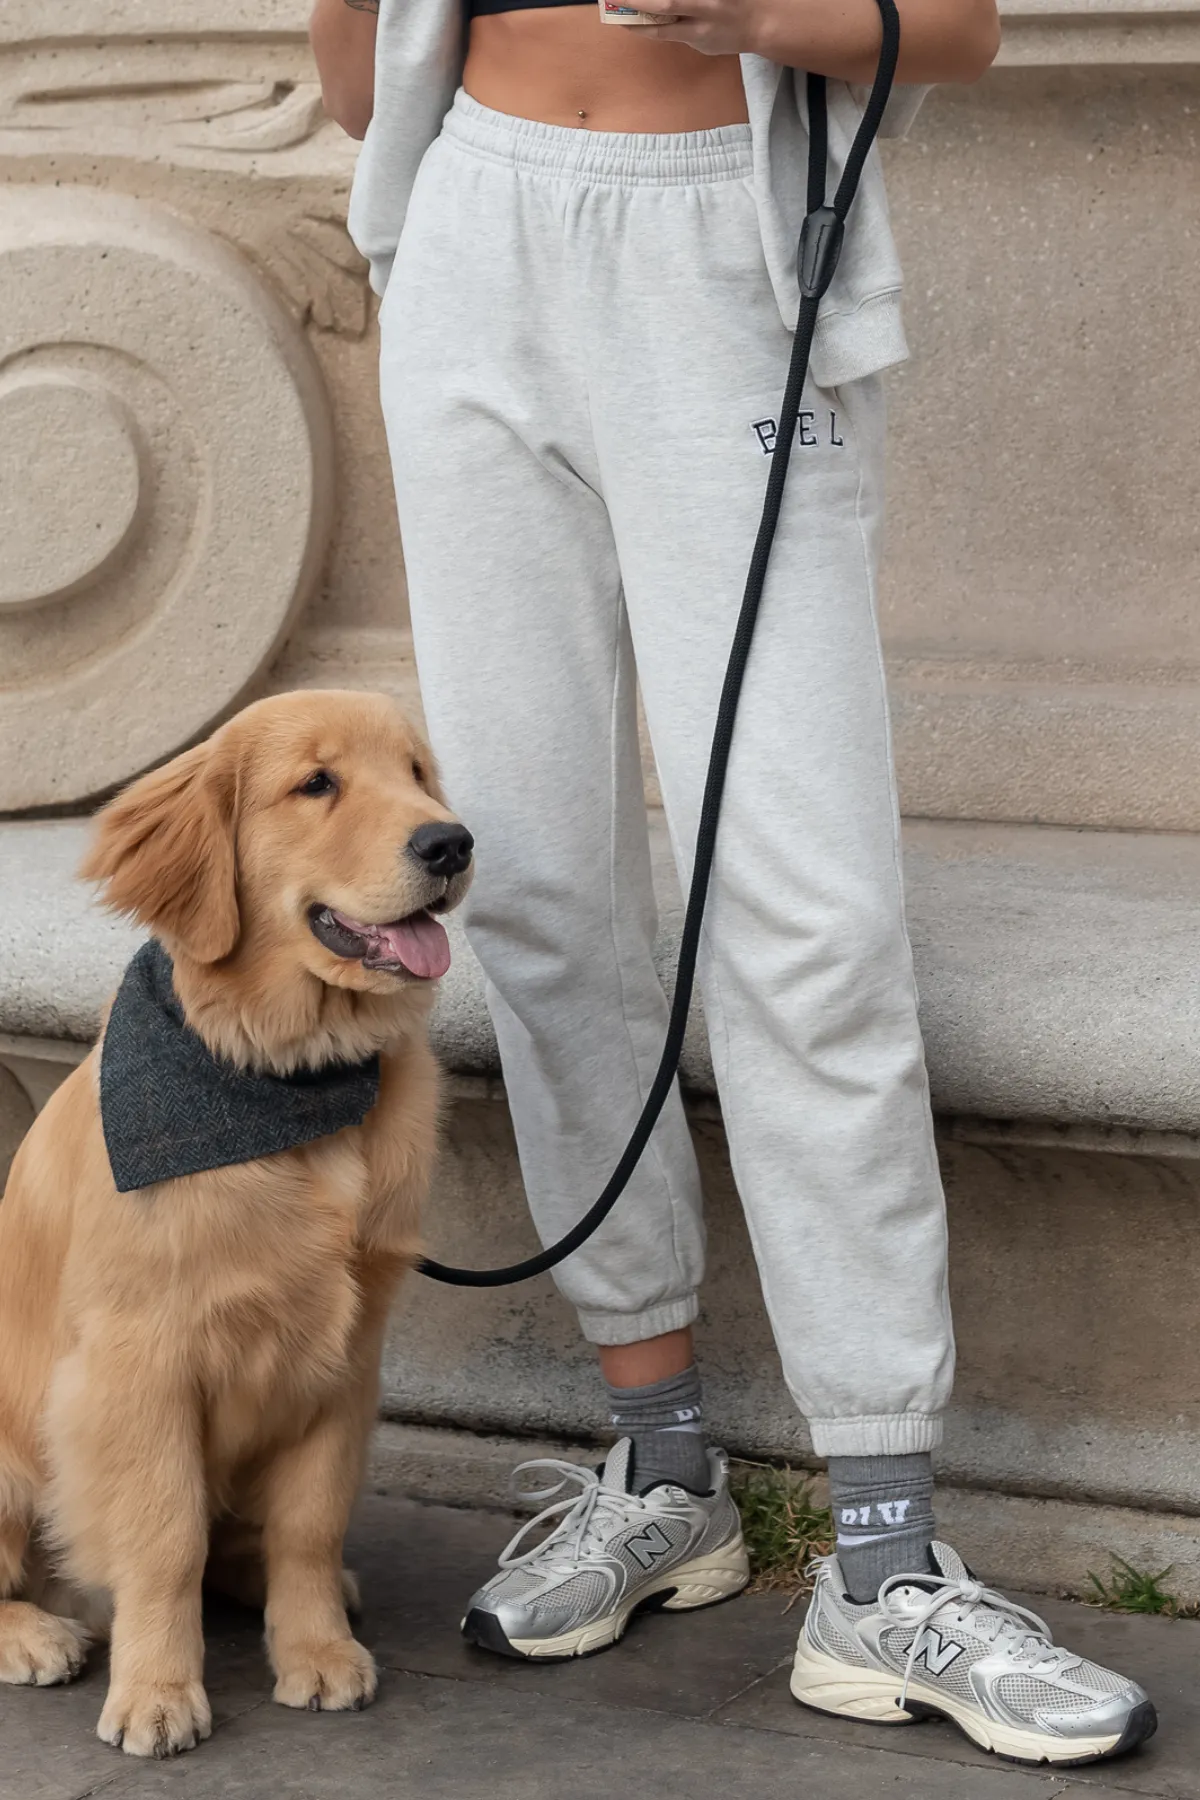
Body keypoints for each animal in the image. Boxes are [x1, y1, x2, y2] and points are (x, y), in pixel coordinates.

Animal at [0, 687, 474, 1756]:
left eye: (416, 773)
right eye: (317, 783)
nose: (451, 842)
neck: (287, 1080)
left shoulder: (347, 1355)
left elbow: (311, 1522)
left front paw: (316, 1649)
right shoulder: (138, 1364)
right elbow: (164, 1537)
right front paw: (158, 1690)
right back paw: (33, 1633)